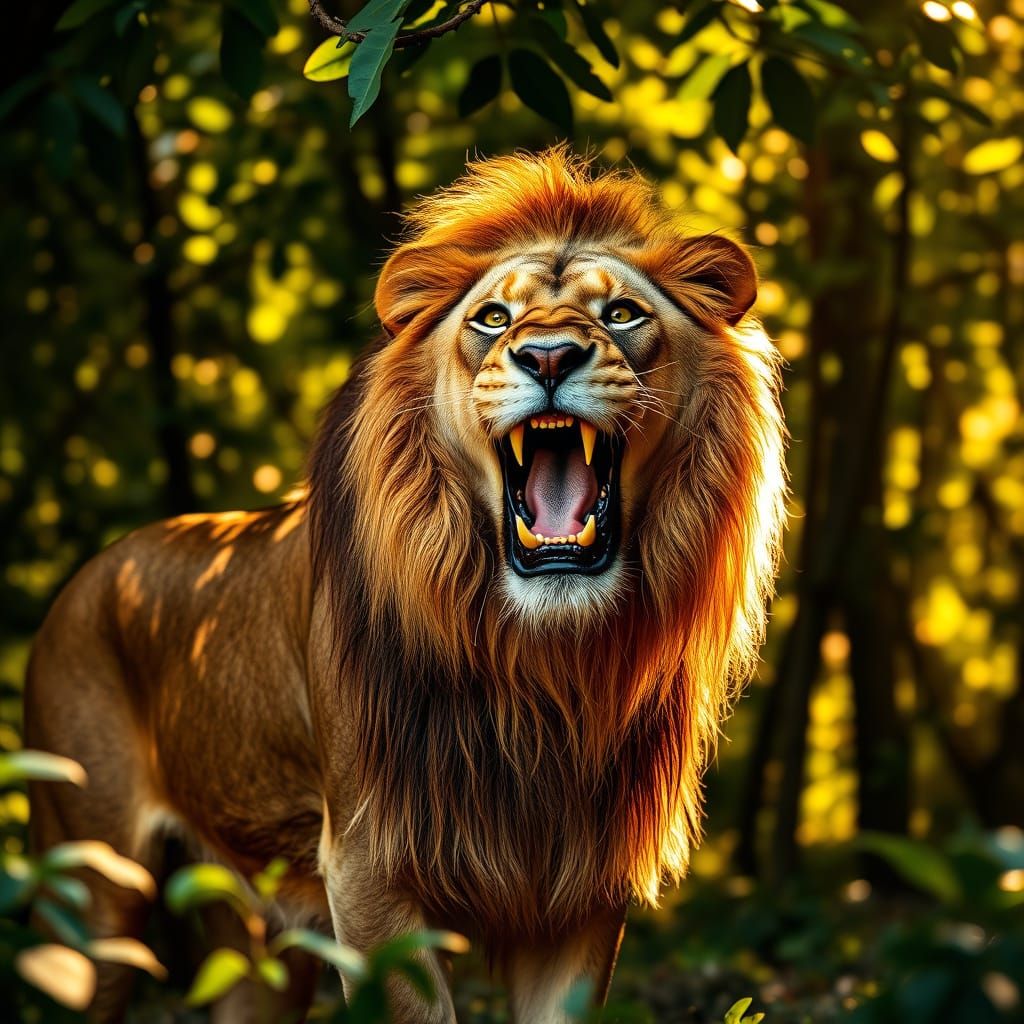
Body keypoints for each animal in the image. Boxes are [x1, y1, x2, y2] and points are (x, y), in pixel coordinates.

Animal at [24, 148, 787, 1023]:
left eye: (623, 313)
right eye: (492, 318)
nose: (549, 356)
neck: (538, 664)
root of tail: (90, 574)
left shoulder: (583, 888)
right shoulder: (366, 869)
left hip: (258, 941)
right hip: (96, 892)